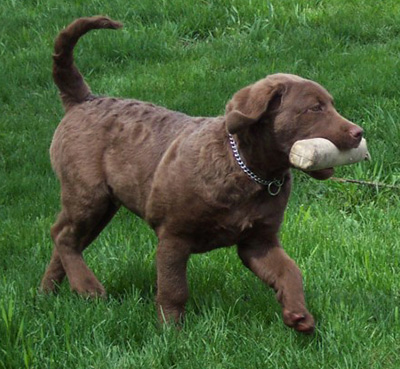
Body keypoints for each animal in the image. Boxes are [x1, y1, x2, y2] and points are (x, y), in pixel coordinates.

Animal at [40, 15, 362, 332]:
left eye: (330, 105)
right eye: (314, 108)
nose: (358, 132)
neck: (247, 170)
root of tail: (85, 99)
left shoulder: (258, 241)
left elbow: (289, 270)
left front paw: (298, 315)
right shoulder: (173, 235)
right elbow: (173, 288)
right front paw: (171, 332)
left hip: (101, 205)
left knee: (65, 238)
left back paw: (48, 292)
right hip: (89, 195)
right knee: (64, 236)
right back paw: (87, 287)